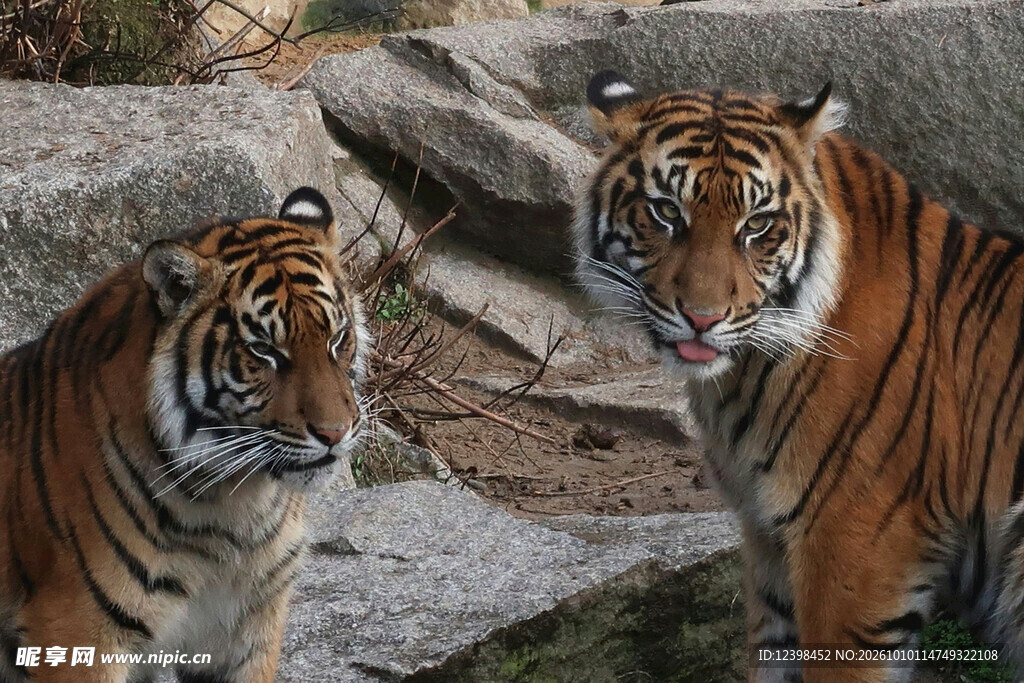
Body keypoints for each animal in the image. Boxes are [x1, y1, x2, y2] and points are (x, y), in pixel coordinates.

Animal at [0, 187, 368, 683]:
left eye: (337, 337)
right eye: (264, 350)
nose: (335, 433)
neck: (235, 510)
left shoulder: (246, 626)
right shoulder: (76, 630)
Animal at [573, 70, 1024, 682]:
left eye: (757, 224)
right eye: (666, 211)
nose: (703, 318)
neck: (741, 379)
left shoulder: (856, 546)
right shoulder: (768, 538)